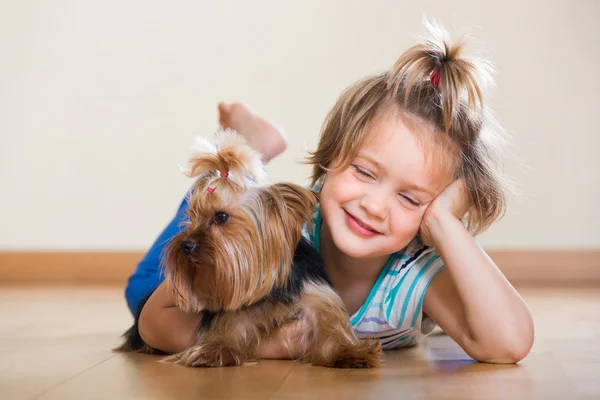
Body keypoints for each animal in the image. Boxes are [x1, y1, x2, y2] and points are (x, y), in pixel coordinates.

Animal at [115, 130, 382, 368]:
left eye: (221, 217)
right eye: (190, 217)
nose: (186, 244)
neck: (270, 290)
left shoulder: (318, 295)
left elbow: (330, 326)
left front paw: (349, 353)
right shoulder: (233, 307)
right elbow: (227, 327)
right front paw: (212, 351)